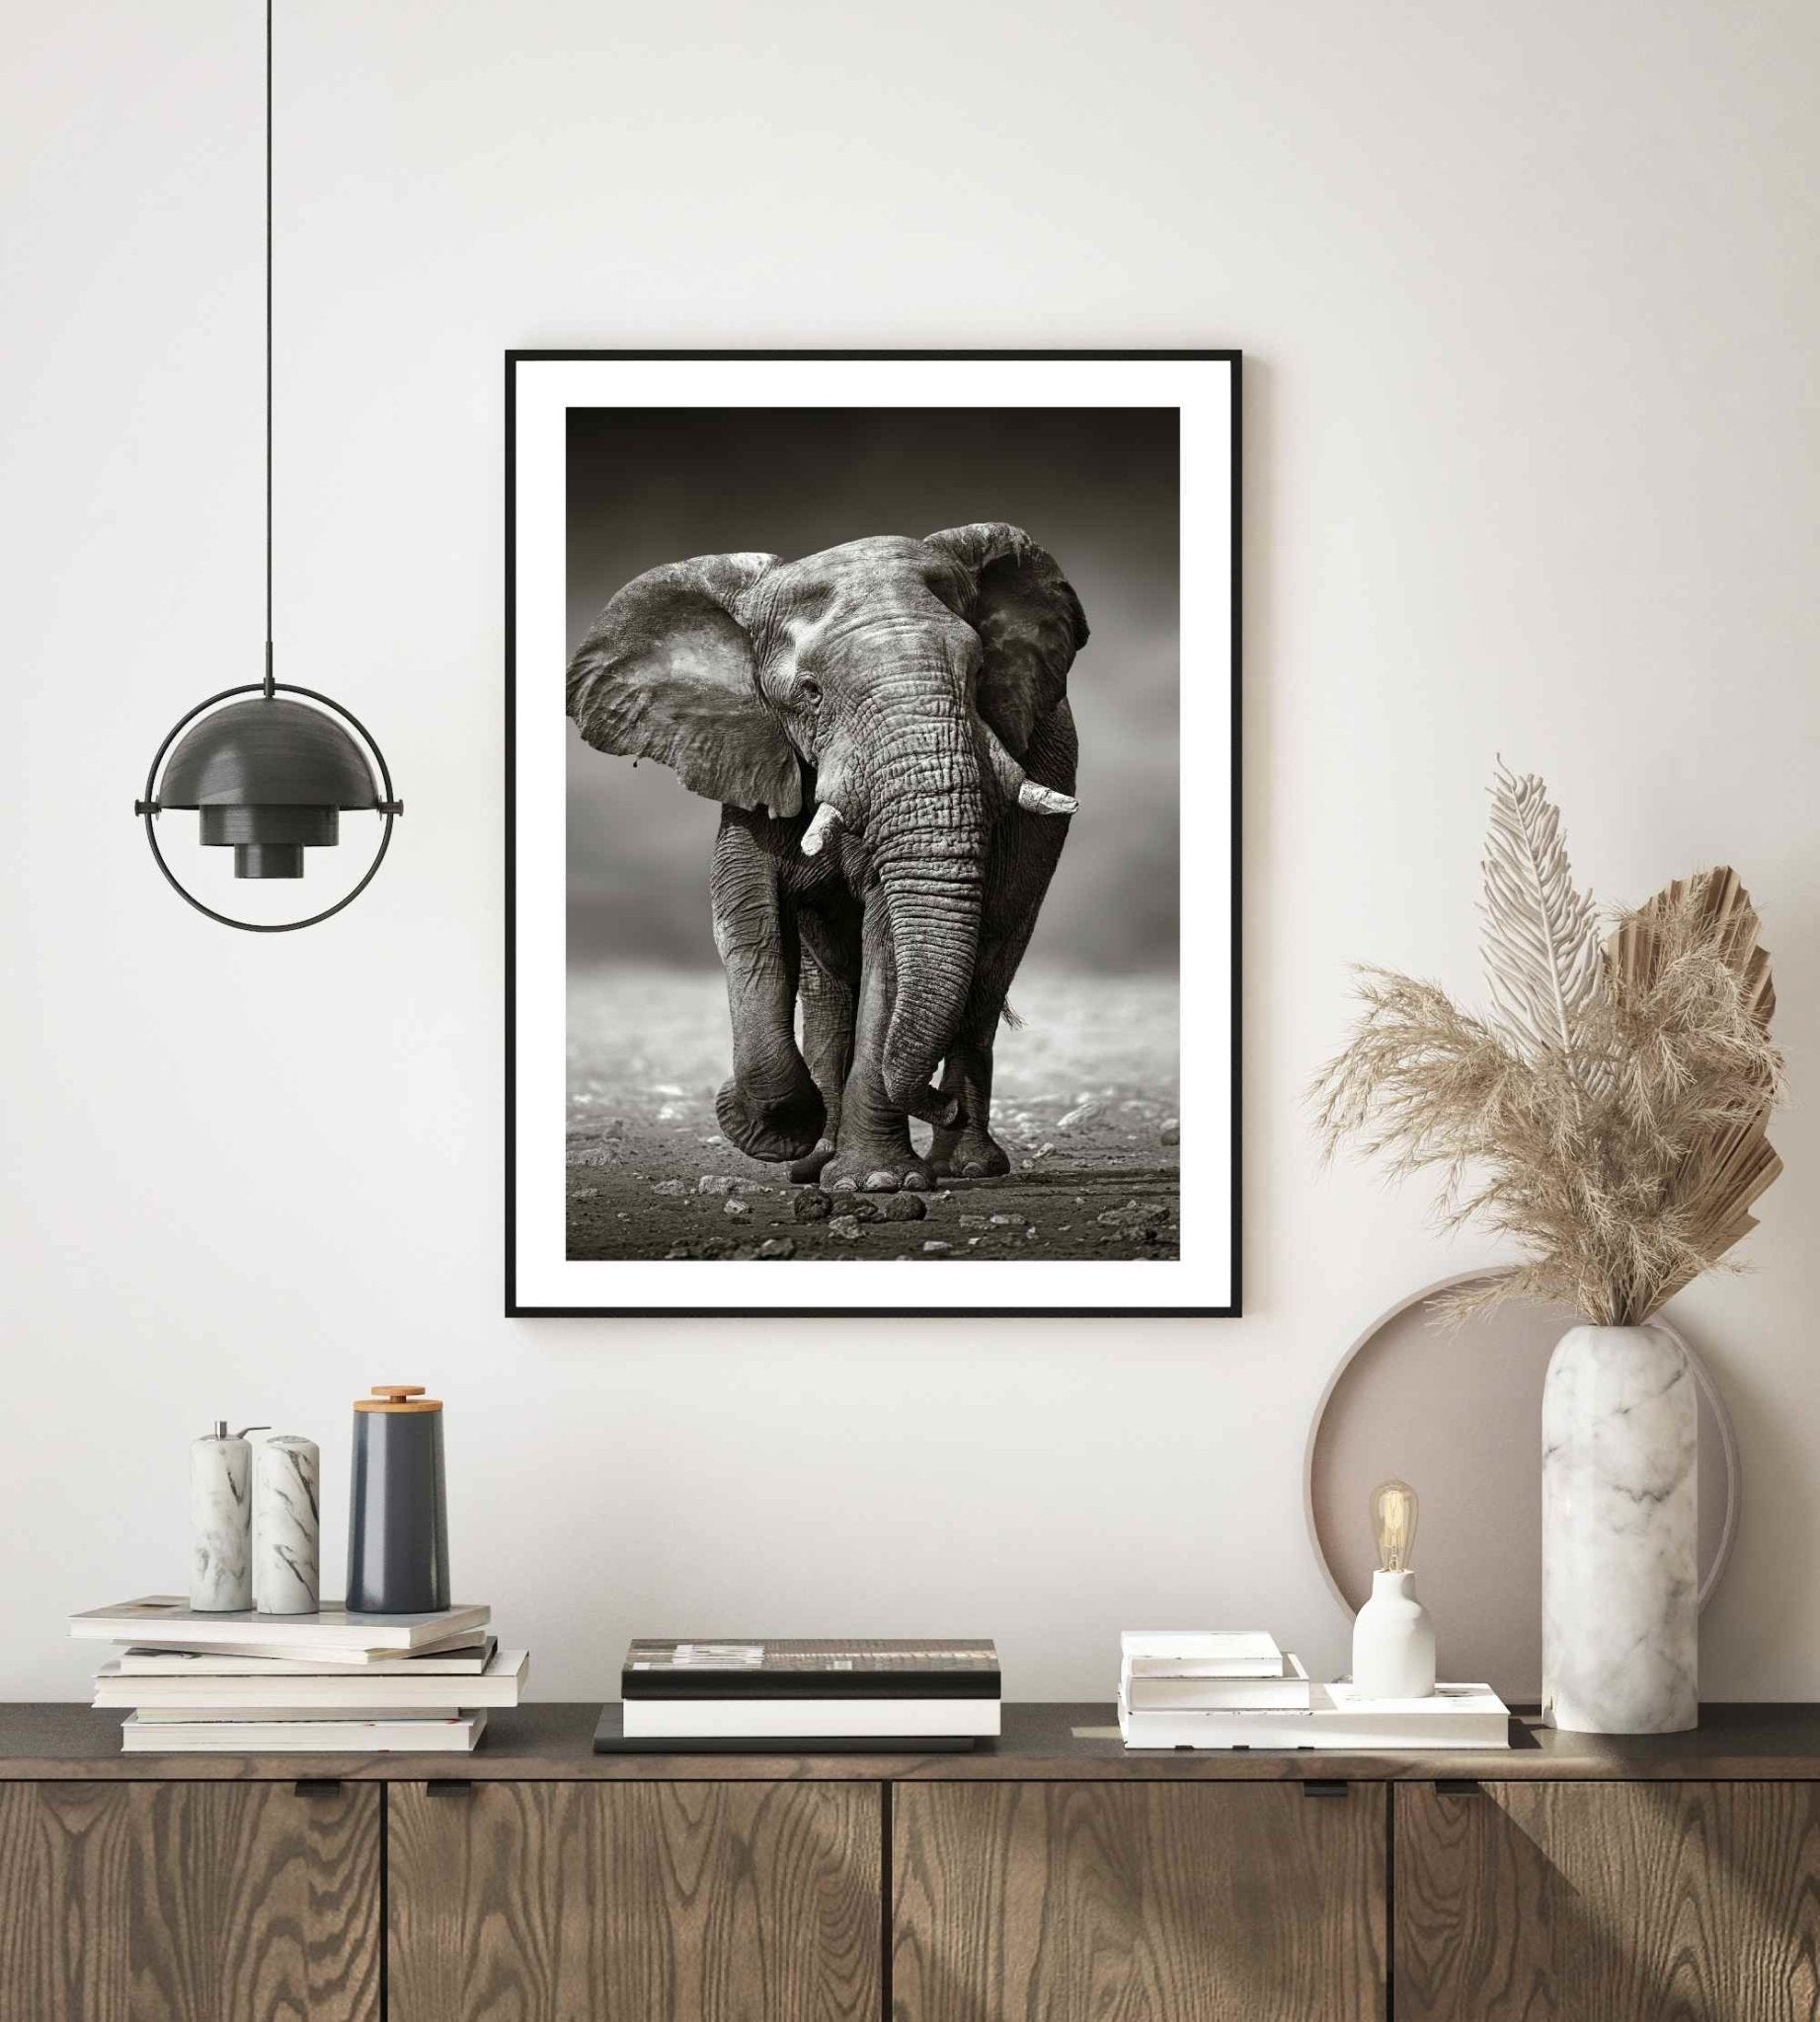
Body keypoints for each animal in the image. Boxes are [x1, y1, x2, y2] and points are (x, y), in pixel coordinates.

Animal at [566, 522, 1088, 1195]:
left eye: (977, 676)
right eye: (809, 694)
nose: (939, 1104)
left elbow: (887, 942)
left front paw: (876, 1183)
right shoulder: (753, 756)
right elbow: (748, 919)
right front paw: (774, 1132)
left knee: (988, 966)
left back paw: (966, 1166)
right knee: (829, 988)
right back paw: (817, 1163)